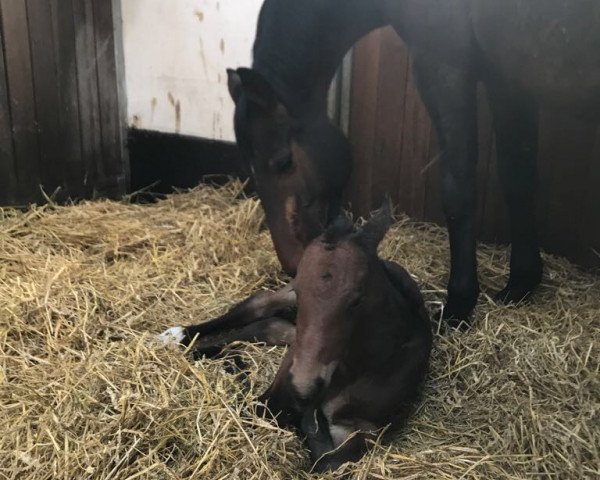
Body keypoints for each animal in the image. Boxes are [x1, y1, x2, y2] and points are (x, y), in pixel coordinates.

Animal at [161, 206, 432, 472]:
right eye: (301, 293)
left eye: (357, 299)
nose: (304, 385)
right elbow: (257, 408)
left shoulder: (368, 430)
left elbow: (328, 461)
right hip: (285, 309)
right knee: (258, 306)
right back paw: (178, 337)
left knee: (269, 326)